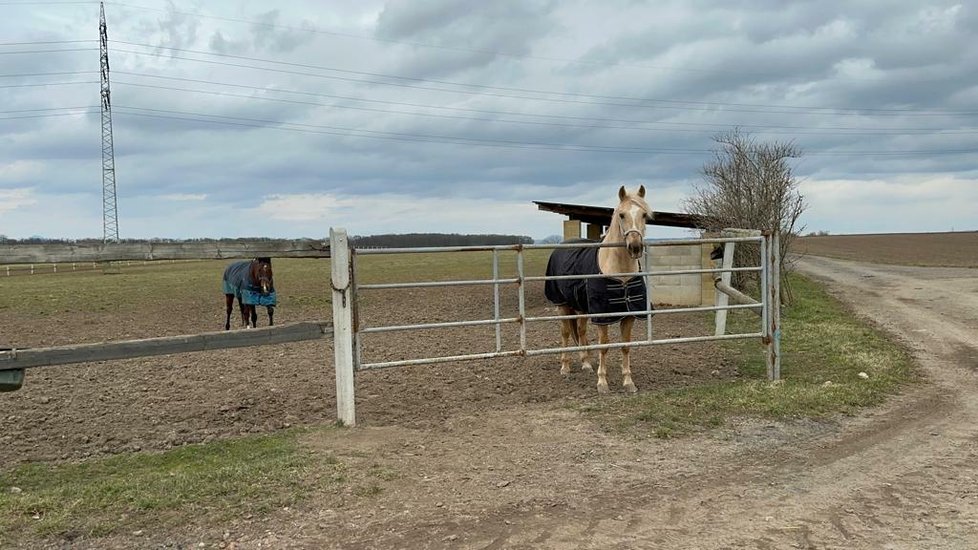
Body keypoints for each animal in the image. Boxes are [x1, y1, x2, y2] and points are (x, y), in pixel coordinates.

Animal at [544, 188, 652, 394]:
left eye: (644, 215)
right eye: (622, 215)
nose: (635, 247)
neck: (620, 274)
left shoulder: (629, 315)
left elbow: (625, 346)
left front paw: (628, 382)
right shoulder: (602, 316)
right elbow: (604, 346)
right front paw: (602, 383)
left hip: (581, 308)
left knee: (581, 331)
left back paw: (586, 363)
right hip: (562, 305)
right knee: (565, 333)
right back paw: (565, 367)